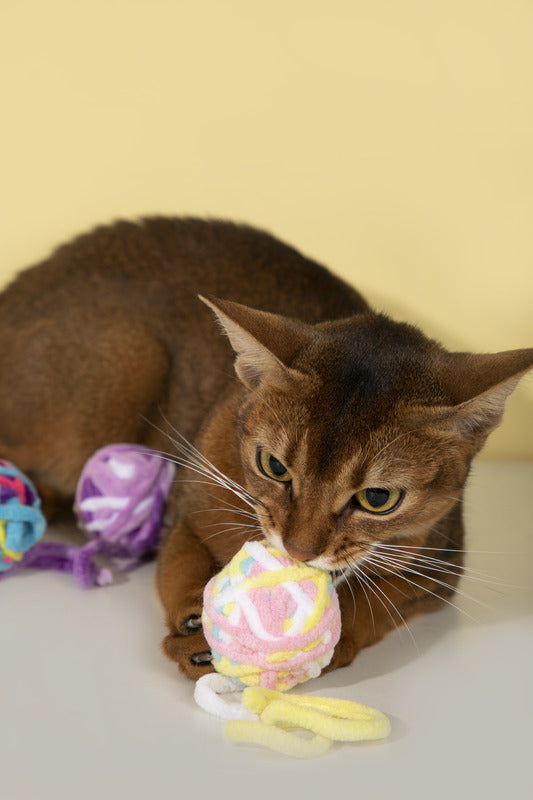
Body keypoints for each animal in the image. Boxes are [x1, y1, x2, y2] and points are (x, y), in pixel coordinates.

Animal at [2, 216, 528, 680]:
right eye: (273, 466)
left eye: (378, 499)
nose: (298, 550)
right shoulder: (187, 506)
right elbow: (181, 562)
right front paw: (195, 622)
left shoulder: (439, 565)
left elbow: (366, 602)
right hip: (131, 350)